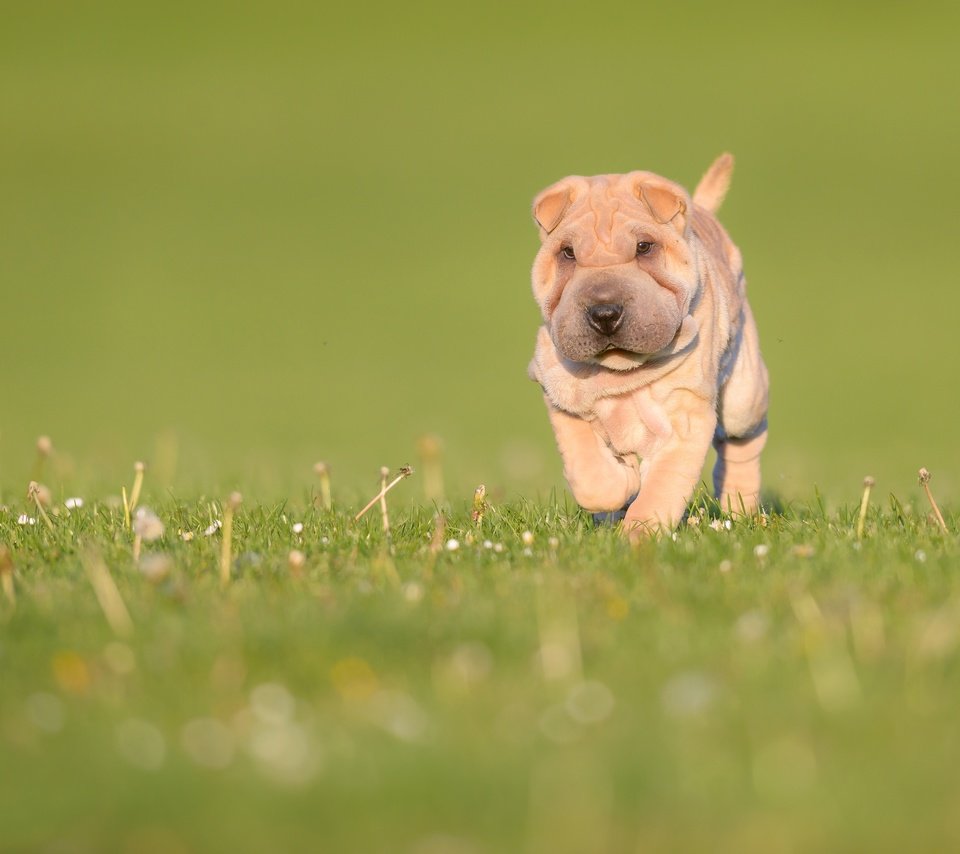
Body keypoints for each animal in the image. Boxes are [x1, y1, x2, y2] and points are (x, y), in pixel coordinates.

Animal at [528, 154, 768, 540]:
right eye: (567, 253)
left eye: (645, 247)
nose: (604, 312)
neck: (621, 368)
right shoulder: (561, 395)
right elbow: (591, 474)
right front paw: (622, 480)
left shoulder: (686, 418)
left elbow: (661, 488)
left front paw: (640, 534)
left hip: (744, 397)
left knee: (743, 440)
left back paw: (739, 507)